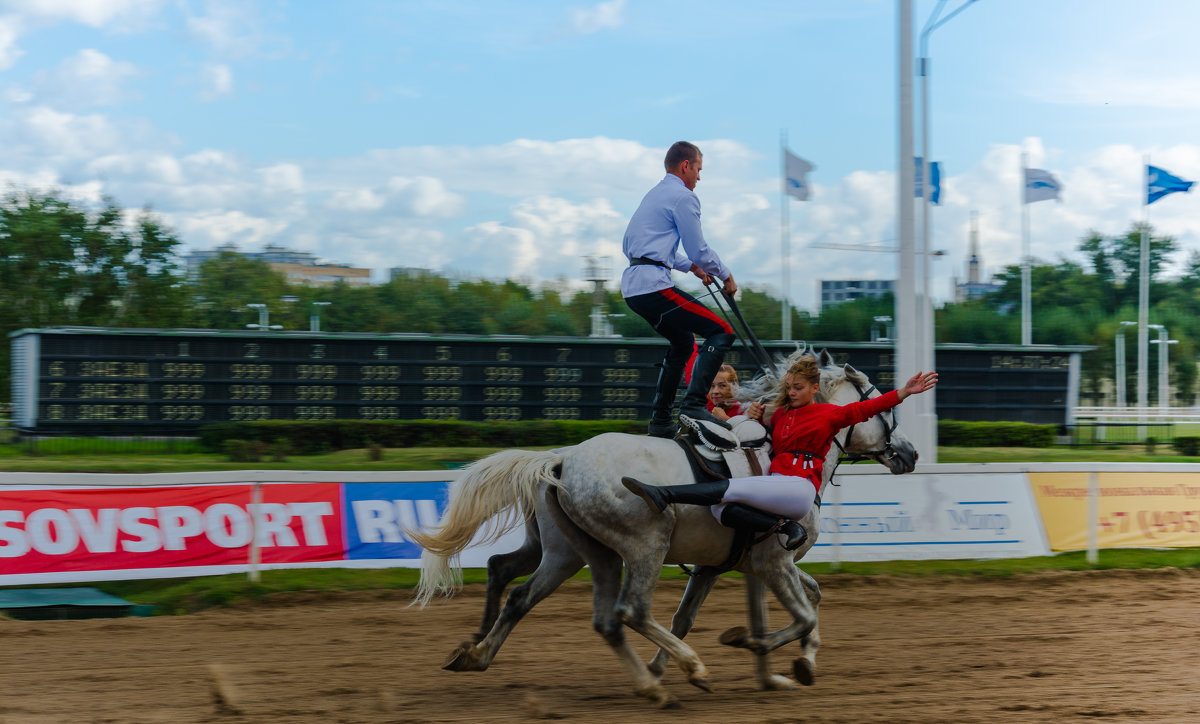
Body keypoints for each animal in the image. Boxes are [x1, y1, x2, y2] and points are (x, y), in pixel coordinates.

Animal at [408, 350, 912, 705]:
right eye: (885, 409)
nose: (910, 453)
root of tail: (560, 460)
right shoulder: (773, 561)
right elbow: (802, 612)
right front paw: (754, 647)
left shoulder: (732, 566)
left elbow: (708, 615)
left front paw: (778, 670)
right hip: (641, 548)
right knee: (629, 611)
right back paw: (691, 667)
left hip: (576, 554)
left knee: (535, 597)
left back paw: (479, 654)